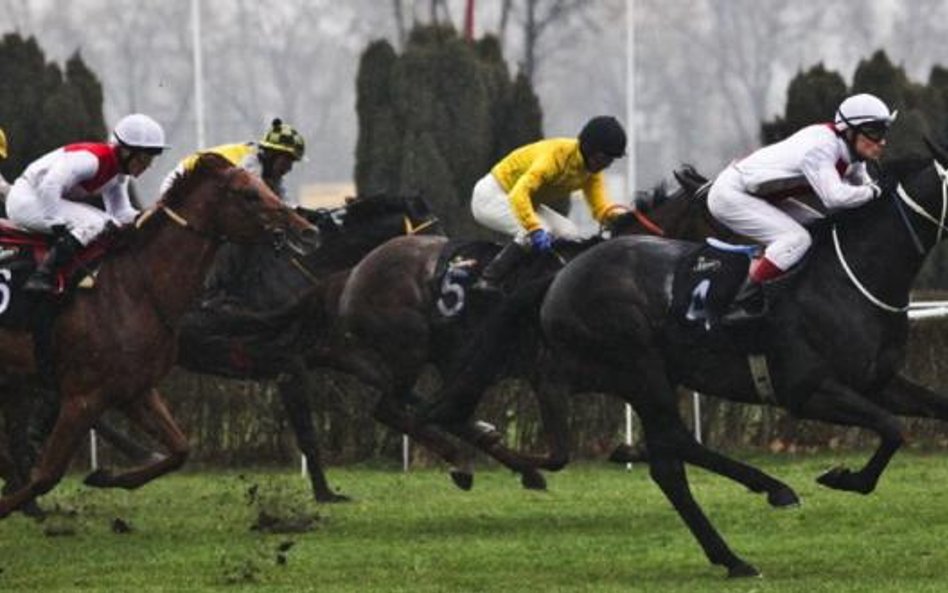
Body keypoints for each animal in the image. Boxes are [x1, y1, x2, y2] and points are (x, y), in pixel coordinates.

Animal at [0, 154, 314, 520]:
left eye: (266, 187)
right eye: (249, 194)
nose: (307, 231)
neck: (137, 287)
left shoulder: (134, 390)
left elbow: (180, 449)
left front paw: (106, 476)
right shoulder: (83, 396)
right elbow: (45, 475)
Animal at [536, 146, 948, 576]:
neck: (851, 276)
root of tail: (563, 278)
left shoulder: (878, 382)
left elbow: (924, 413)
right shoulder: (807, 391)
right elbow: (892, 428)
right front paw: (843, 478)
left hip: (627, 377)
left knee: (664, 462)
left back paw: (732, 555)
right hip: (640, 368)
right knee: (674, 443)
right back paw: (772, 491)